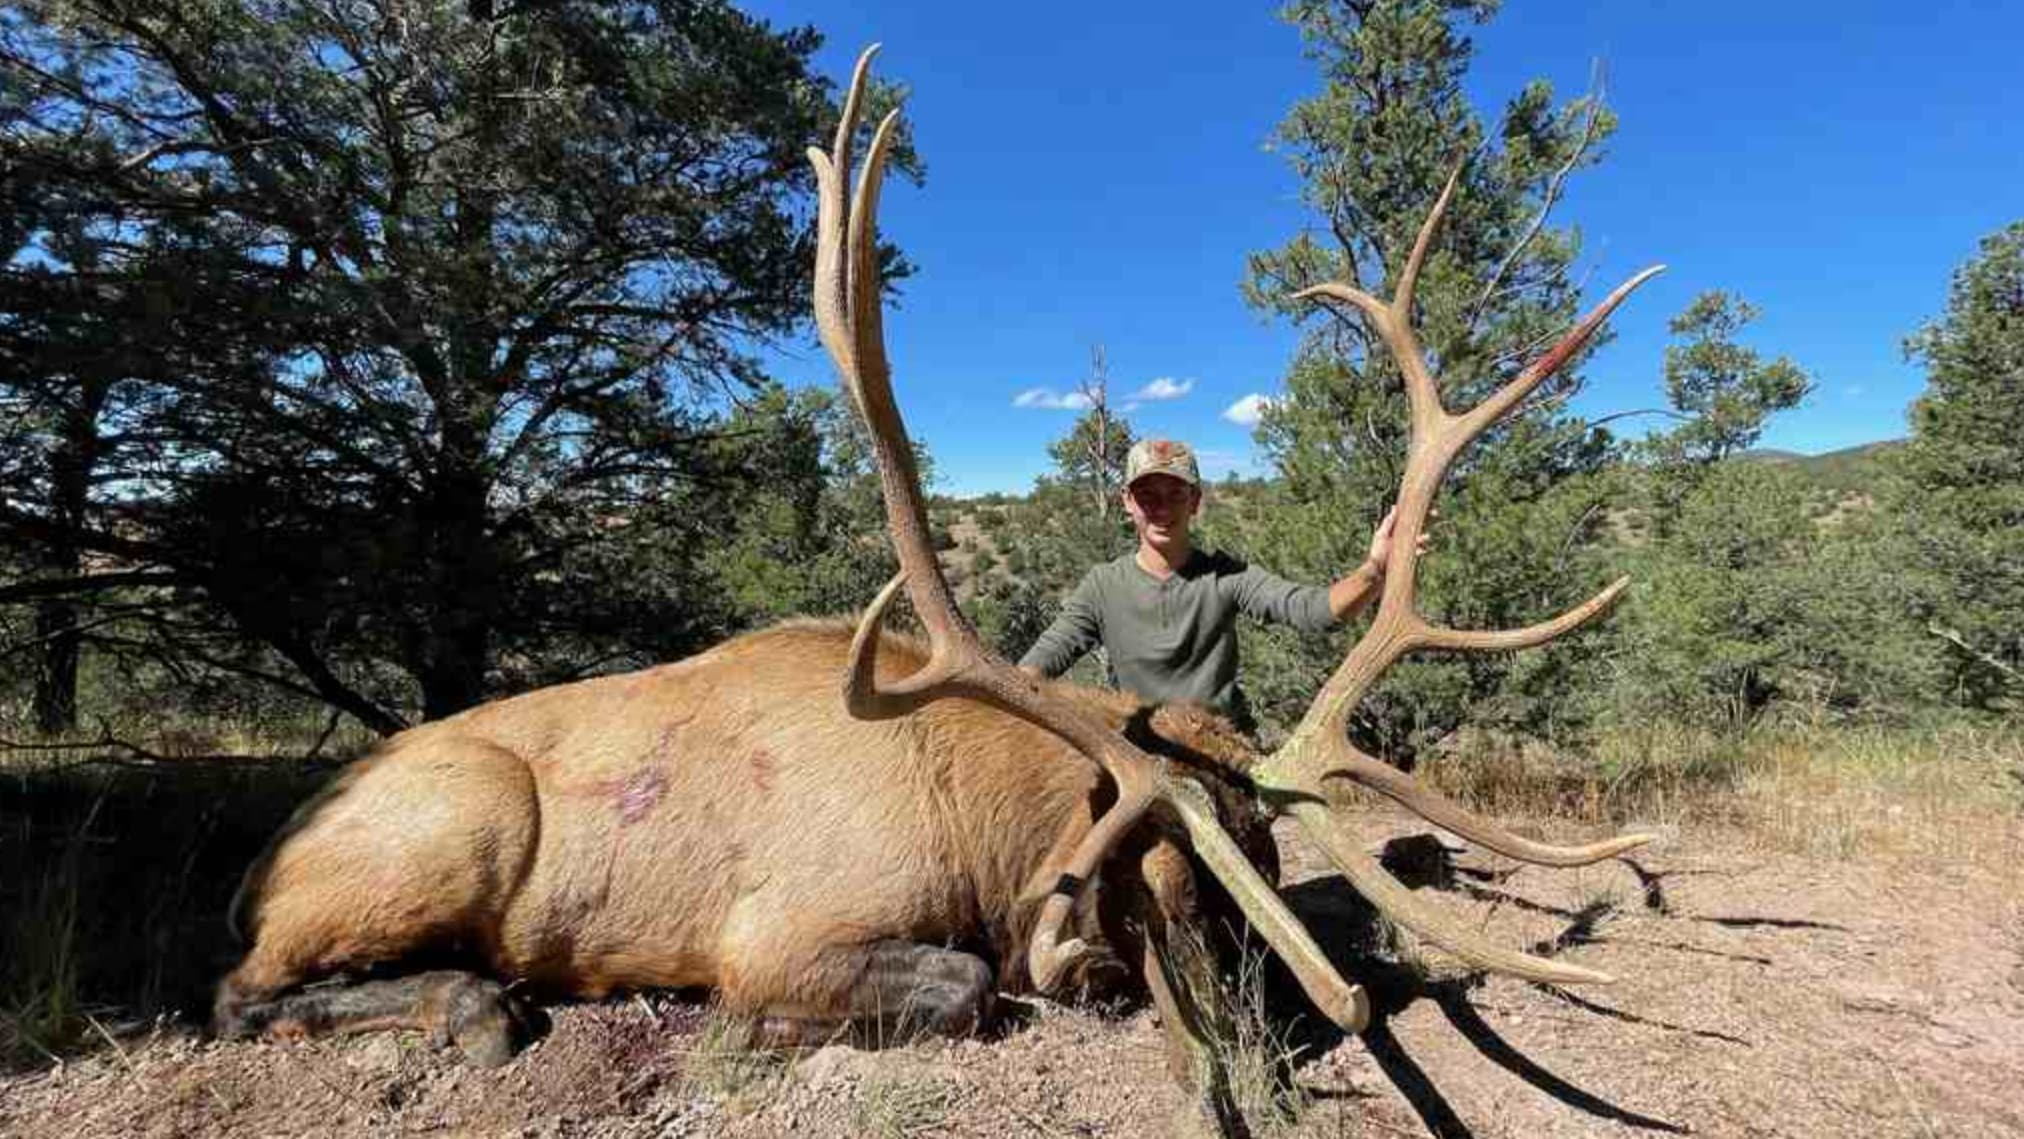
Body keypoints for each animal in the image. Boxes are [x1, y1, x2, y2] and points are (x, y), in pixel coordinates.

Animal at [212, 44, 1663, 1114]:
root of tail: (264, 860)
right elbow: (961, 985)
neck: (988, 825)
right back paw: (477, 1003)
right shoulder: (777, 932)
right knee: (242, 988)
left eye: (1262, 854)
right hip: (453, 823)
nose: (1290, 1037)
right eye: (1174, 888)